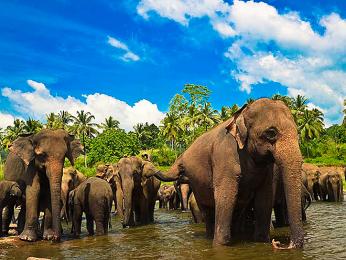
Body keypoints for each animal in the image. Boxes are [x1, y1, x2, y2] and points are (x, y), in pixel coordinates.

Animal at [153, 98, 304, 249]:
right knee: (208, 212)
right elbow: (226, 195)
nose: (280, 244)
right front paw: (220, 246)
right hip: (197, 186)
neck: (242, 113)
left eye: (298, 133)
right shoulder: (224, 155)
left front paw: (262, 241)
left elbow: (265, 198)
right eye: (271, 133)